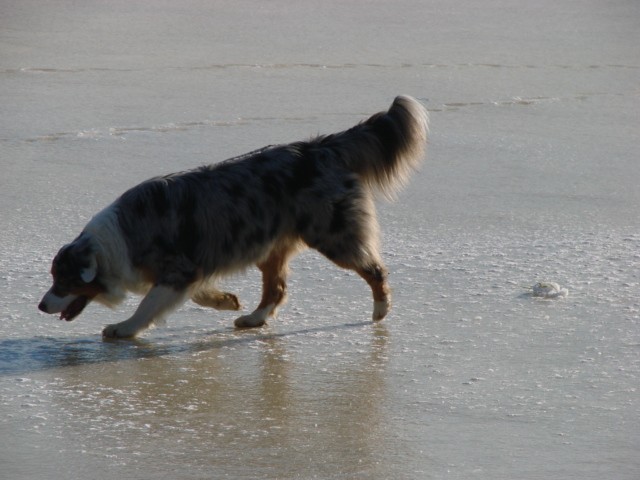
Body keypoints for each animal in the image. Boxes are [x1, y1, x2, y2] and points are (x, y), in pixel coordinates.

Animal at [38, 96, 430, 338]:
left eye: (63, 280)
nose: (40, 306)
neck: (114, 242)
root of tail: (319, 146)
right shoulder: (191, 268)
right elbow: (193, 293)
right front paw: (224, 300)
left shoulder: (179, 267)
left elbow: (149, 303)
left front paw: (124, 328)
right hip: (272, 245)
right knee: (277, 287)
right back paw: (254, 318)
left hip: (332, 233)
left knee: (374, 268)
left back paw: (380, 310)